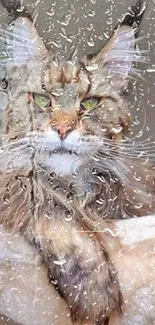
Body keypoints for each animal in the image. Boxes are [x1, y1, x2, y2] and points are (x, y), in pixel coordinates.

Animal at [0, 0, 154, 322]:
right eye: (43, 100)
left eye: (89, 103)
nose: (62, 129)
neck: (71, 188)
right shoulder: (12, 180)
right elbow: (45, 204)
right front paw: (93, 293)